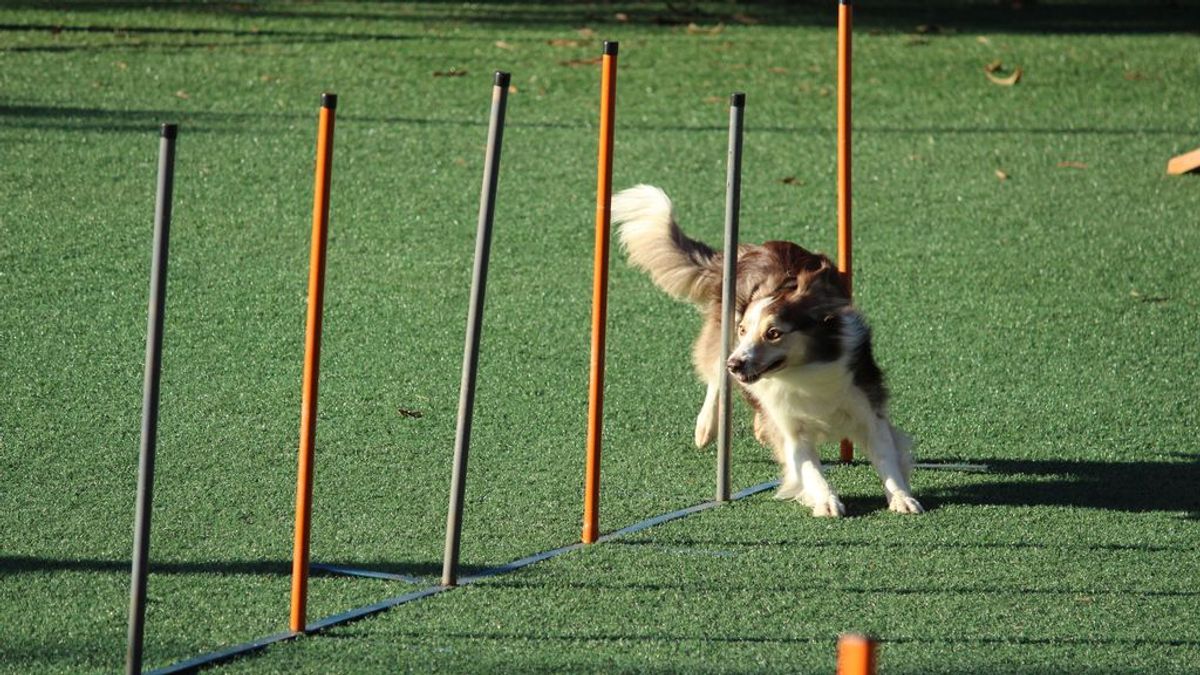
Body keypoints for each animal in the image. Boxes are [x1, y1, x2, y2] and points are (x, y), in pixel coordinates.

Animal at [614, 183, 921, 514]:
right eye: (744, 330)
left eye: (773, 333)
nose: (735, 364)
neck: (804, 372)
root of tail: (751, 249)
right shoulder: (789, 426)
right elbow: (809, 469)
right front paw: (826, 501)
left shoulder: (866, 406)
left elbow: (886, 456)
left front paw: (901, 497)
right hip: (721, 335)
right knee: (714, 375)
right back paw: (706, 427)